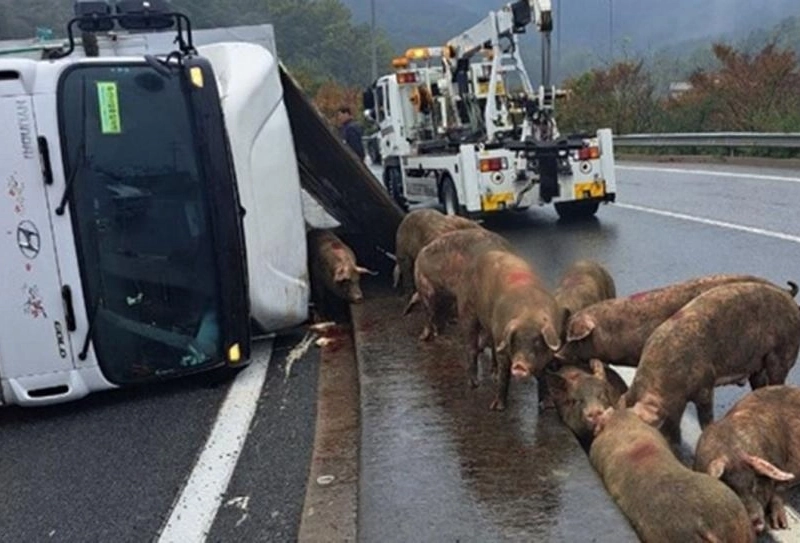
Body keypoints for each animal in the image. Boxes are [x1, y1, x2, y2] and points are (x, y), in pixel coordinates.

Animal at [460, 251, 564, 412]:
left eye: (537, 342)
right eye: (515, 341)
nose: (519, 365)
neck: (529, 314)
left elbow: (542, 375)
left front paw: (548, 406)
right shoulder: (504, 346)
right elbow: (505, 374)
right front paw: (497, 408)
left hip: (493, 329)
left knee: (492, 345)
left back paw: (493, 374)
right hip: (468, 308)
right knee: (471, 345)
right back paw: (474, 384)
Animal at [624, 280, 800, 446]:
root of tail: (790, 299)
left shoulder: (706, 385)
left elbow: (706, 419)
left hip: (783, 352)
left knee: (777, 379)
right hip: (758, 366)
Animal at [692, 386, 800, 536]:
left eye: (754, 484)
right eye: (730, 488)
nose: (755, 521)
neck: (731, 451)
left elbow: (778, 490)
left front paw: (780, 526)